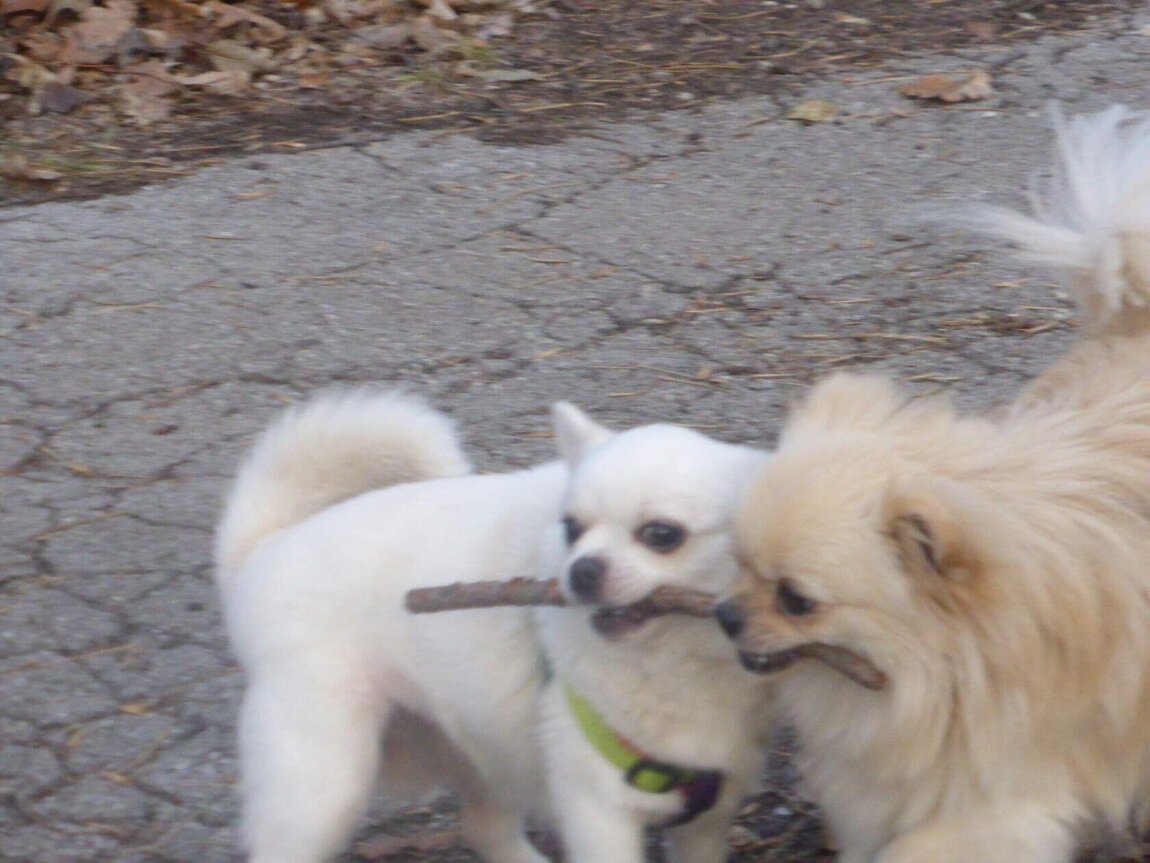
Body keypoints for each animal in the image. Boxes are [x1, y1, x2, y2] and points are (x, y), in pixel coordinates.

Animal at [215, 391, 774, 863]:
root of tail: (263, 551)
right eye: (571, 528)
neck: (683, 661)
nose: (582, 569)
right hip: (324, 784)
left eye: (662, 535)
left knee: (485, 828)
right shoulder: (599, 813)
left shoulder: (709, 815)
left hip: (473, 743)